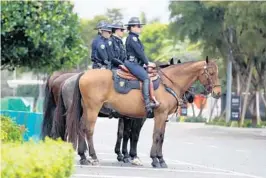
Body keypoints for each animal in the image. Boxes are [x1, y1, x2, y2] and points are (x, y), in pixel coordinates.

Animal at [67, 57, 222, 168]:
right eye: (211, 73)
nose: (218, 93)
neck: (169, 83)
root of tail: (84, 74)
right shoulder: (158, 115)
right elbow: (155, 136)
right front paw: (155, 159)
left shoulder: (163, 117)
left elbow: (161, 137)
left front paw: (160, 159)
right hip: (93, 109)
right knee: (89, 130)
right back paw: (93, 157)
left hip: (86, 109)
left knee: (81, 128)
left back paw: (84, 157)